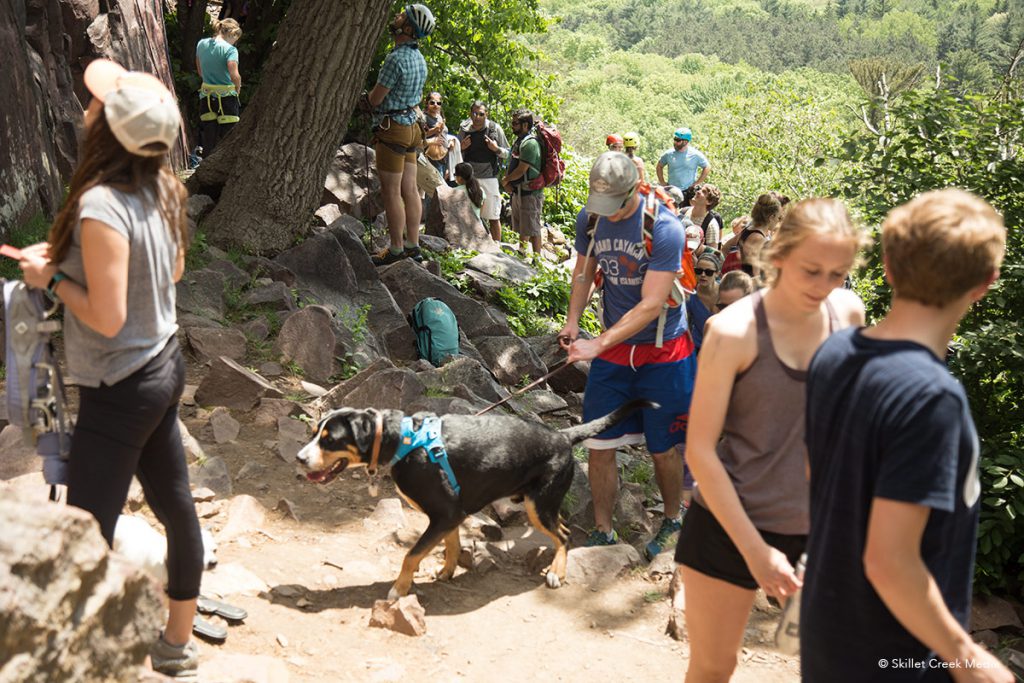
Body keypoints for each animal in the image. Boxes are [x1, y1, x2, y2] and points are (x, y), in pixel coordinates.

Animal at [292, 401, 651, 598]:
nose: (299, 458)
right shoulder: (452, 515)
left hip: (538, 505)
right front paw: (446, 571)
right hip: (542, 503)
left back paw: (555, 573)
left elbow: (411, 554)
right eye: (313, 433)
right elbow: (451, 545)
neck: (403, 441)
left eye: (330, 440)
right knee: (562, 528)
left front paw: (399, 589)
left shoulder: (445, 513)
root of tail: (563, 435)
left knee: (563, 535)